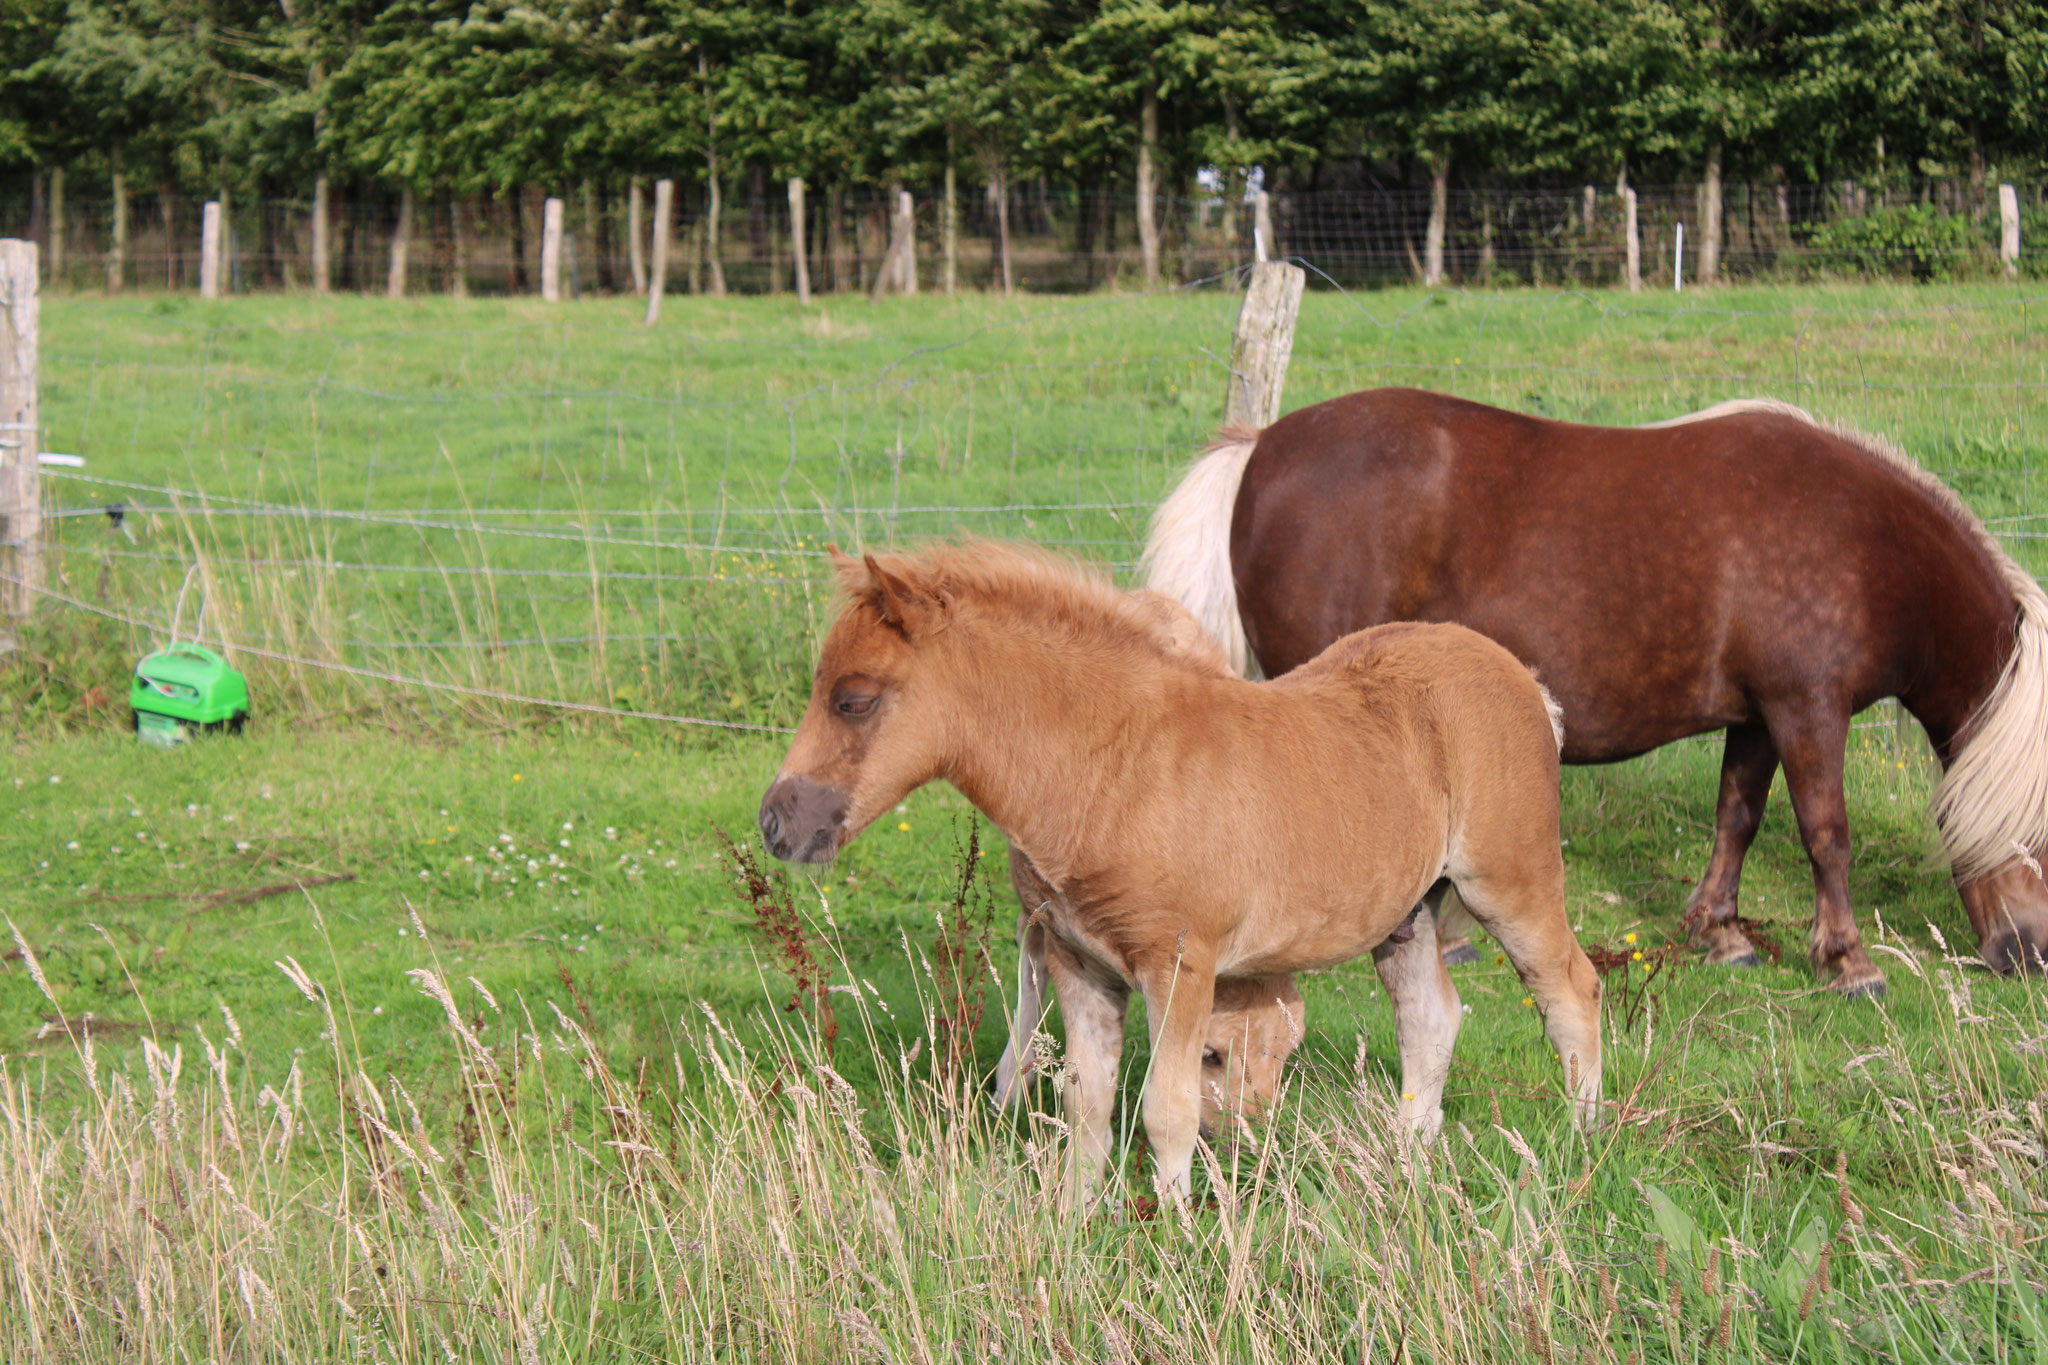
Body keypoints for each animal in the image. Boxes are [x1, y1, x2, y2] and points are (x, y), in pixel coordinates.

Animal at [757, 540, 1597, 1203]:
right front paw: (1075, 1224)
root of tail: (1525, 680)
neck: (1112, 767)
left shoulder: (1181, 964)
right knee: (1430, 1018)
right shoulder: (1080, 962)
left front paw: (1173, 1233)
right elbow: (1087, 1100)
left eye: (854, 699)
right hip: (1408, 911)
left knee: (1573, 989)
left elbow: (1168, 1106)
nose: (775, 822)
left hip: (1509, 881)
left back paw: (1581, 1142)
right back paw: (1405, 1164)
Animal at [1146, 388, 2048, 998]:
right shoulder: (1807, 708)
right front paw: (1849, 959)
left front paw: (1721, 933)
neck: (1866, 545)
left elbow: (1738, 817)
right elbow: (1827, 834)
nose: (2031, 953)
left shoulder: (1759, 717)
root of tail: (1263, 446)